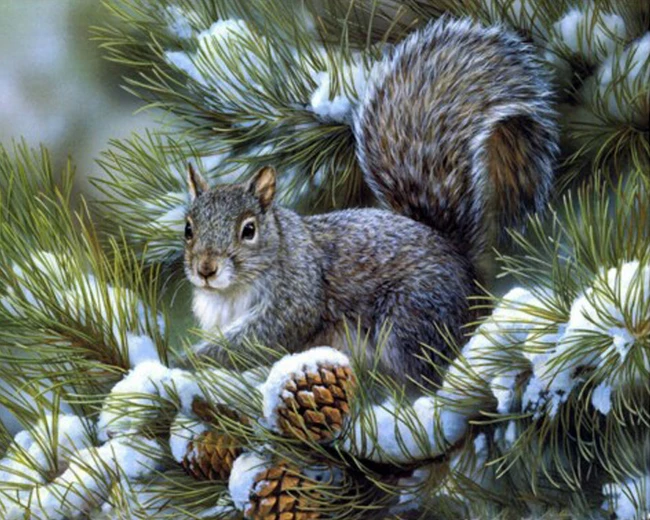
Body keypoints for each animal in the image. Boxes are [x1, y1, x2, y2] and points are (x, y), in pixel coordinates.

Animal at [182, 18, 558, 384]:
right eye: (188, 229)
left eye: (248, 230)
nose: (206, 269)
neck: (231, 292)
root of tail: (466, 271)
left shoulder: (296, 295)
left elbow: (261, 338)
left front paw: (191, 360)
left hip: (411, 316)